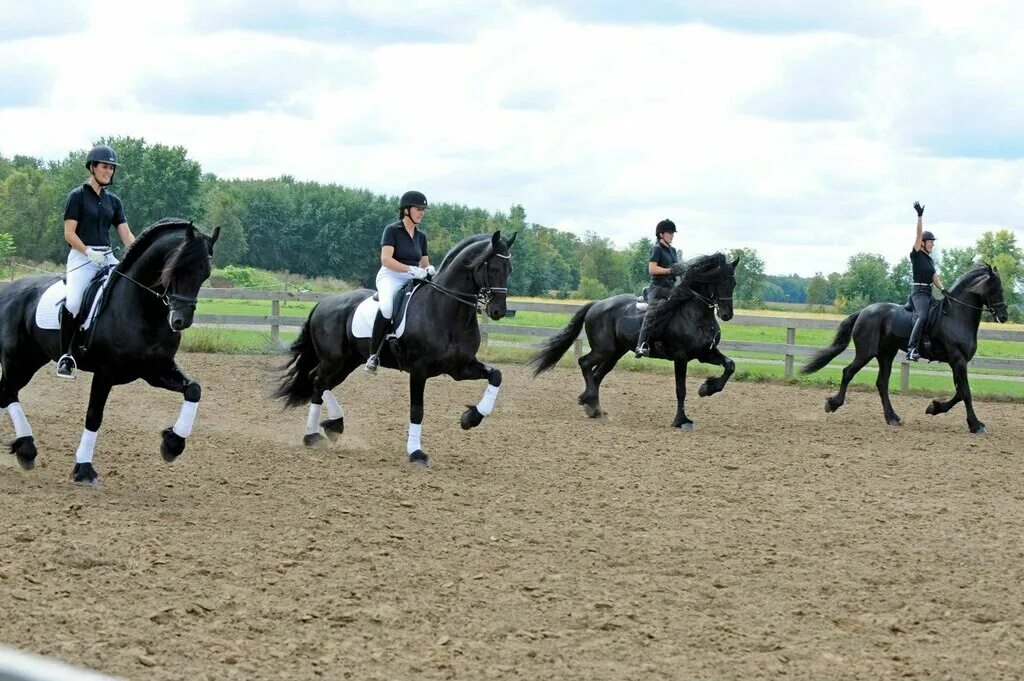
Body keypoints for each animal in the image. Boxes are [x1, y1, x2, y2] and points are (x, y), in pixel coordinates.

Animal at [0, 219, 220, 483]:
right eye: (176, 269)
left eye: (205, 274)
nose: (180, 321)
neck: (142, 308)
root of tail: (7, 291)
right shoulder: (105, 373)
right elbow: (94, 416)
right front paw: (84, 469)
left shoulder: (155, 369)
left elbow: (194, 390)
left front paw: (172, 444)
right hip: (17, 360)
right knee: (8, 393)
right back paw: (27, 449)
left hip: (32, 359)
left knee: (5, 394)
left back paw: (25, 449)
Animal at [276, 232, 516, 462]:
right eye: (494, 268)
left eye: (509, 270)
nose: (498, 311)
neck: (445, 309)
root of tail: (323, 303)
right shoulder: (419, 371)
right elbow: (417, 411)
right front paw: (416, 453)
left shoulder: (459, 368)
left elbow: (496, 376)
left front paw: (470, 418)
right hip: (334, 360)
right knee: (318, 381)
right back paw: (314, 434)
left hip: (348, 362)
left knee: (320, 384)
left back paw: (329, 428)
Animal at [532, 251, 741, 428]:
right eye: (718, 281)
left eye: (733, 283)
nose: (726, 315)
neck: (696, 315)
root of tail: (597, 304)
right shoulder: (681, 357)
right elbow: (680, 389)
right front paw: (681, 420)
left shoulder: (705, 353)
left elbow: (730, 365)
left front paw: (707, 388)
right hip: (603, 349)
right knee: (584, 363)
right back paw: (590, 401)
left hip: (615, 353)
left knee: (597, 374)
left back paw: (593, 407)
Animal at [798, 262, 1007, 432]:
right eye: (995, 288)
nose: (1003, 316)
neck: (956, 316)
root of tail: (864, 311)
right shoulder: (958, 360)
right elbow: (966, 393)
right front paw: (976, 425)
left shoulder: (957, 363)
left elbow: (959, 392)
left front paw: (934, 408)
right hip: (866, 353)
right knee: (848, 372)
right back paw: (833, 404)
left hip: (886, 354)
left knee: (882, 383)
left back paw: (892, 418)